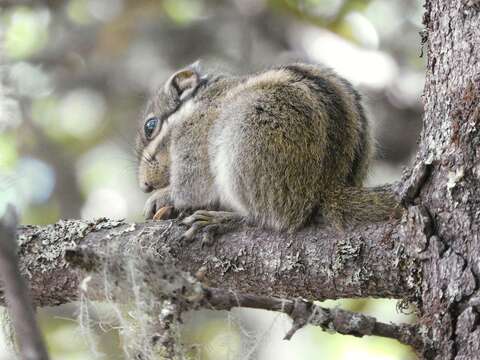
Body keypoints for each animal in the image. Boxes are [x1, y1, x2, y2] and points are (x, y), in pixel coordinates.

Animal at [135, 62, 402, 239]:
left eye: (150, 126)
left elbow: (192, 189)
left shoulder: (193, 138)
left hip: (247, 144)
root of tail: (328, 188)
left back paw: (223, 219)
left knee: (272, 217)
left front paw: (162, 198)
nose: (145, 185)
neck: (196, 104)